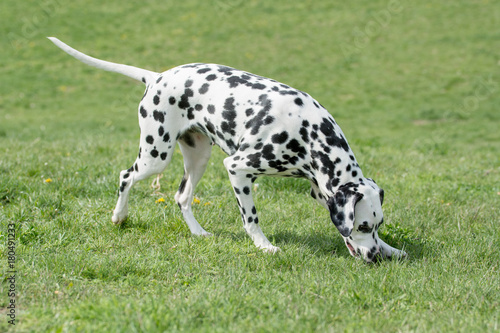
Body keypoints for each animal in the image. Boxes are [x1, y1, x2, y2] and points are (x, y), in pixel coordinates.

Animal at [47, 37, 406, 262]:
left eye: (377, 225)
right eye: (362, 226)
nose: (375, 257)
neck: (308, 131)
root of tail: (157, 77)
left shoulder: (320, 190)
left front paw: (391, 248)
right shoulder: (238, 168)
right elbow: (252, 218)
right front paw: (264, 246)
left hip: (198, 158)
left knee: (181, 197)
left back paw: (198, 233)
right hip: (155, 156)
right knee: (126, 176)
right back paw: (119, 216)